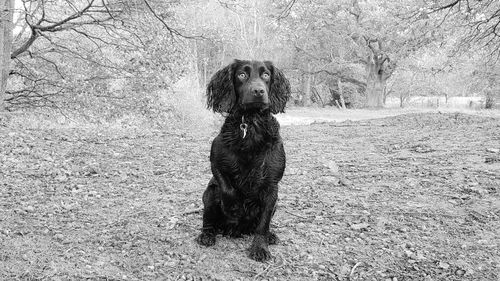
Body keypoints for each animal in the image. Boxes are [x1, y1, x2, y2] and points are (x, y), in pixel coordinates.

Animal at [197, 59, 292, 260]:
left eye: (266, 75)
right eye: (242, 75)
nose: (258, 91)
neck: (251, 124)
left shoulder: (272, 186)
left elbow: (263, 223)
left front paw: (260, 248)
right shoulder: (216, 163)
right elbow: (228, 188)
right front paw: (234, 206)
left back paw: (269, 235)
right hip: (209, 193)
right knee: (208, 219)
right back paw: (207, 235)